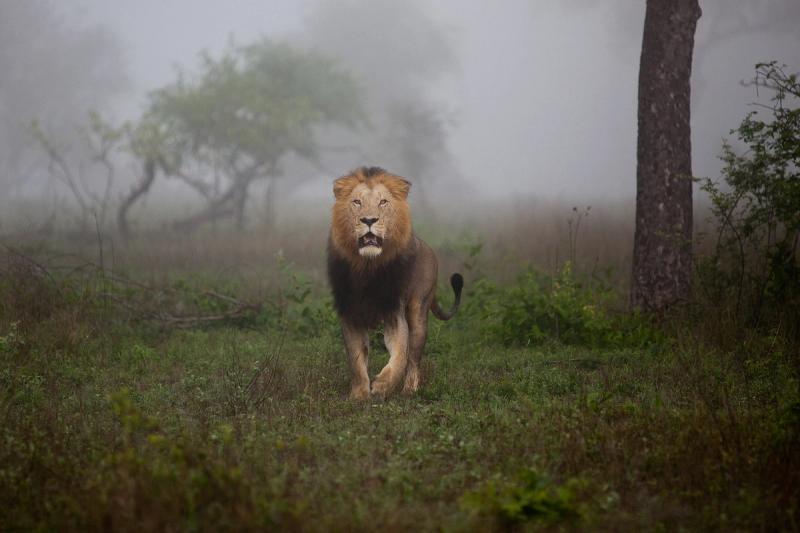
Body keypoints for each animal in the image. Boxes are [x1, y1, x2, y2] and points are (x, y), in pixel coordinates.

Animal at [327, 166, 463, 400]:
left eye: (383, 202)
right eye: (356, 202)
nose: (369, 220)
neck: (368, 267)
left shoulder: (393, 312)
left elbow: (400, 355)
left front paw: (382, 386)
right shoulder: (350, 313)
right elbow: (356, 359)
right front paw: (359, 395)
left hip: (419, 311)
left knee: (414, 358)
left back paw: (409, 390)